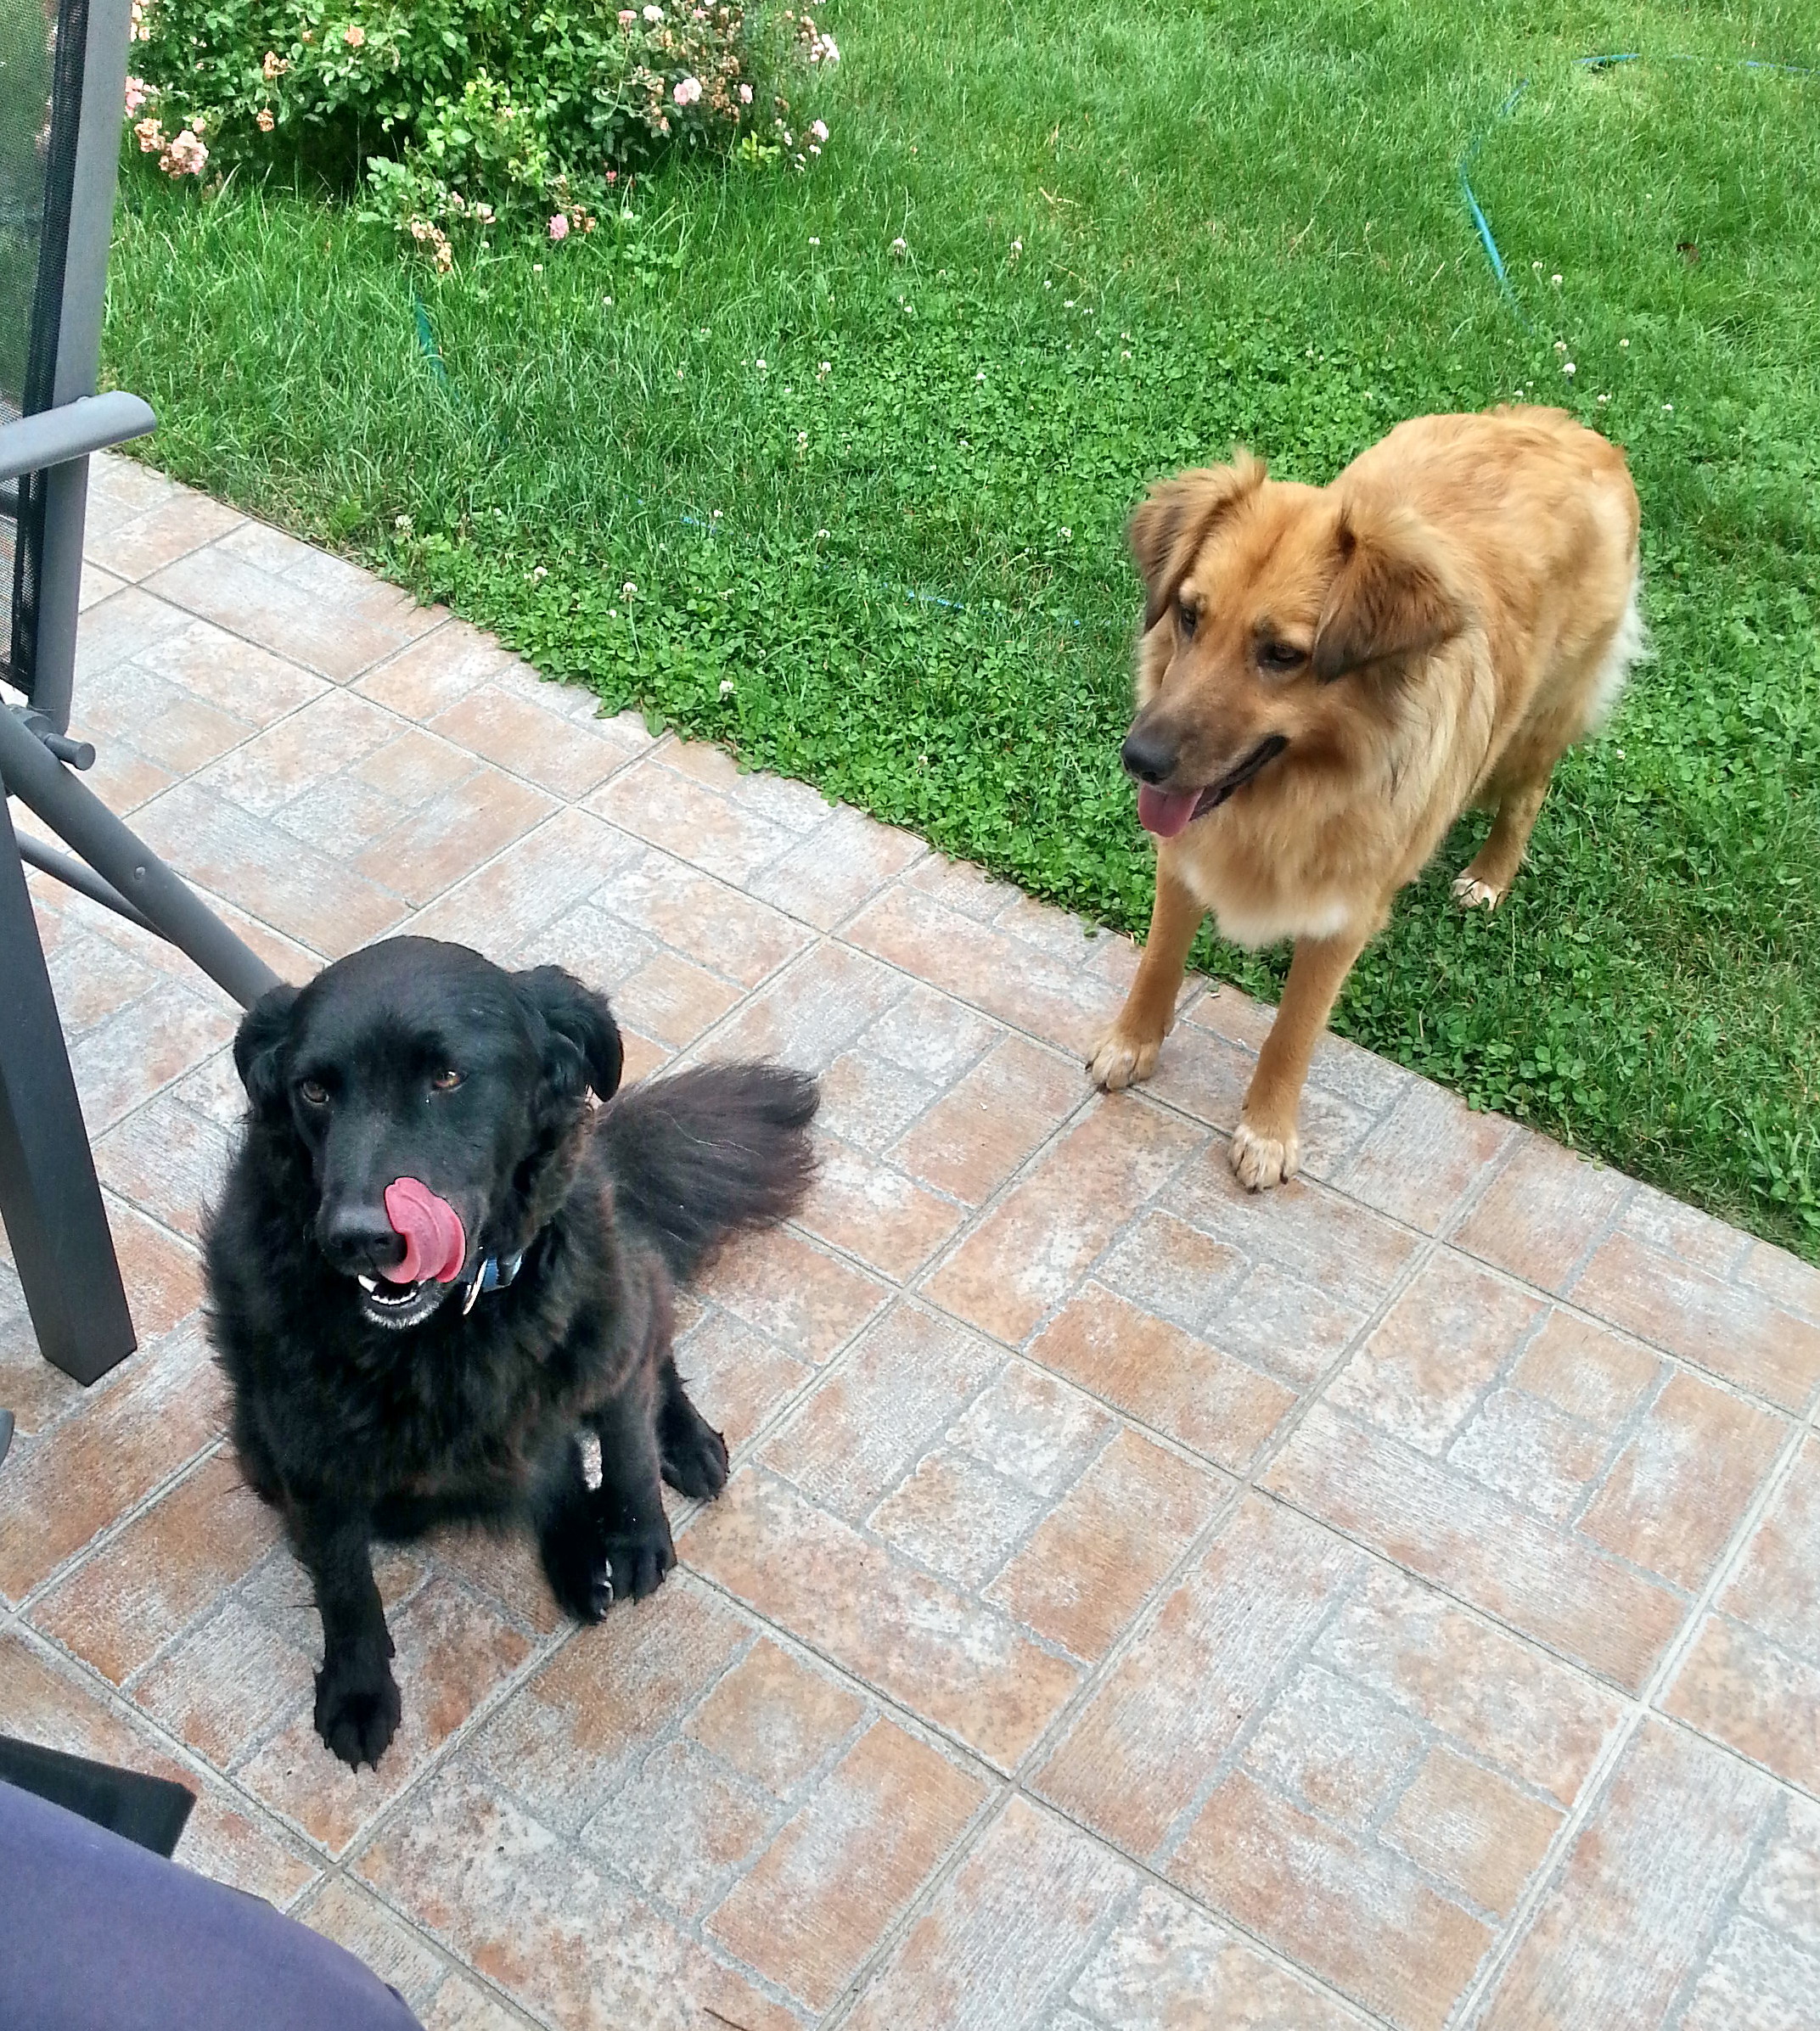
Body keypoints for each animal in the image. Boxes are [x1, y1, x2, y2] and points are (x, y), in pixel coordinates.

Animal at [204, 936, 816, 1768]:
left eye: (447, 1077)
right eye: (315, 1090)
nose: (358, 1237)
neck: (454, 1323)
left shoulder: (604, 1338)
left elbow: (626, 1439)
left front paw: (635, 1533)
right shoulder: (304, 1450)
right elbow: (343, 1578)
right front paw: (358, 1687)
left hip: (624, 1282)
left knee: (653, 1350)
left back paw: (683, 1446)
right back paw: (576, 1546)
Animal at [1088, 405, 1642, 1187]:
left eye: (1282, 655)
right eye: (1190, 615)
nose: (1139, 760)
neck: (1289, 795)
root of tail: (1574, 430)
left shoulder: (1345, 913)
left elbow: (1292, 1029)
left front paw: (1267, 1132)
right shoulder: (1185, 854)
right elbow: (1159, 959)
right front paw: (1131, 1043)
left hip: (1539, 724)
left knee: (1528, 794)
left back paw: (1490, 875)